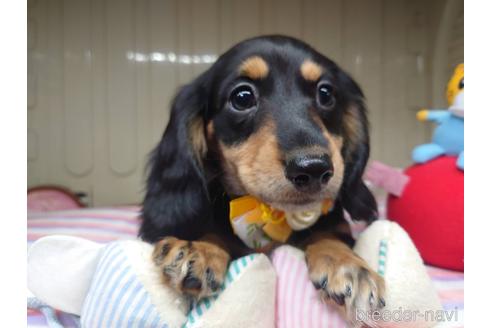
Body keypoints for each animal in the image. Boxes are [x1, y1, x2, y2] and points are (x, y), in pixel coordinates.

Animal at [140, 36, 386, 322]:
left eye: (325, 93)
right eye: (242, 97)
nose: (314, 168)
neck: (271, 213)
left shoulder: (336, 226)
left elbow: (328, 235)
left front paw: (348, 264)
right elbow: (215, 233)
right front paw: (200, 249)